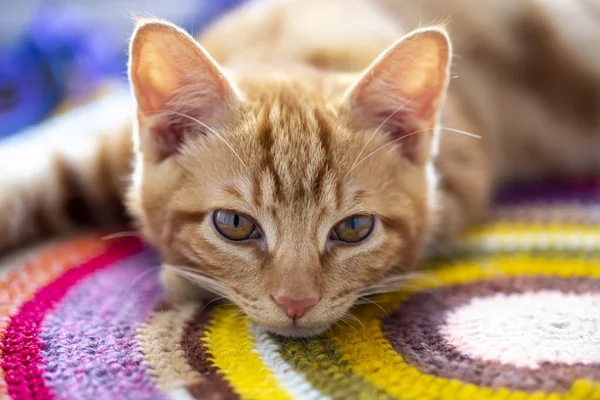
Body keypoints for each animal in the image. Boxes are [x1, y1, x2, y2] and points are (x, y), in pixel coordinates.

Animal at [1, 0, 600, 338]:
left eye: (353, 229)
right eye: (234, 225)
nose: (295, 303)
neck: (292, 53)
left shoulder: (460, 174)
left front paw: (181, 277)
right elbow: (38, 174)